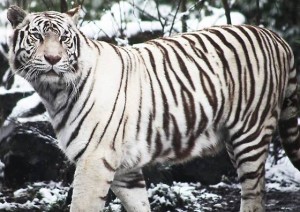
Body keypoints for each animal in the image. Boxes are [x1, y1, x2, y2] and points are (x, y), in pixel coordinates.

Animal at [7, 4, 300, 212]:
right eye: (37, 36)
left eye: (65, 39)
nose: (53, 58)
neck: (53, 93)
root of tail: (275, 36)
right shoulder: (123, 168)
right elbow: (139, 204)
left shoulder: (94, 160)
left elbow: (82, 206)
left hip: (250, 135)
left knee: (254, 193)